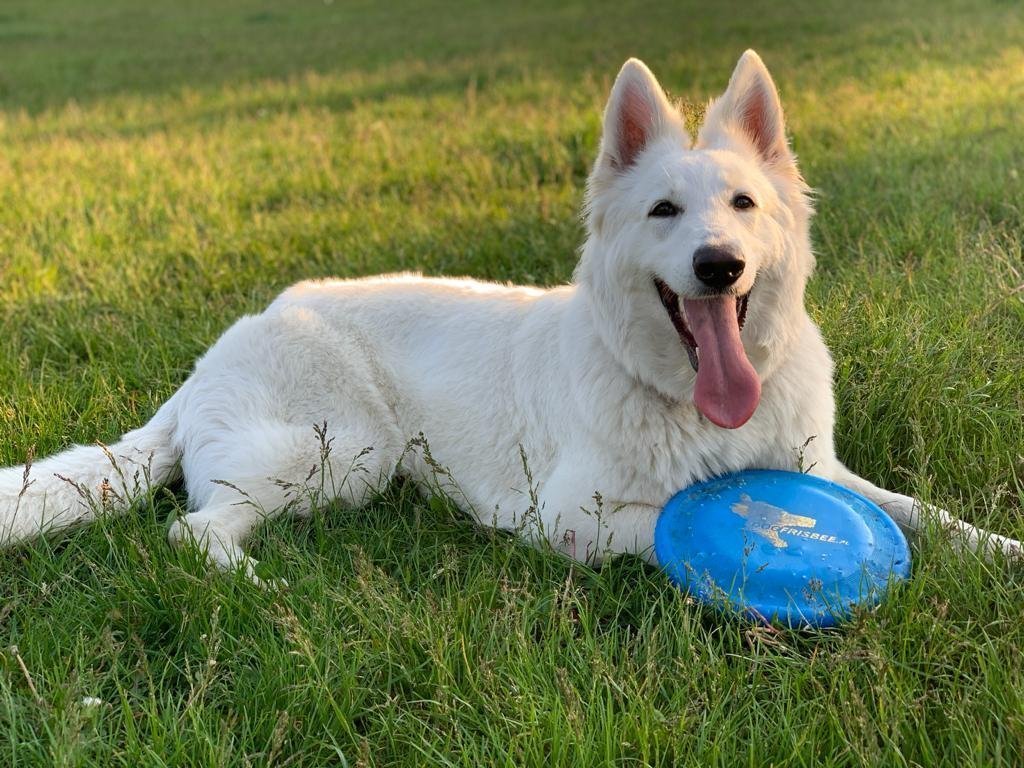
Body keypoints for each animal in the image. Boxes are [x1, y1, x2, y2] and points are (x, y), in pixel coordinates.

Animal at [1, 51, 1019, 580]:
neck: (691, 400)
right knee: (195, 530)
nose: (718, 265)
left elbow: (924, 514)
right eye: (664, 212)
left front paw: (998, 550)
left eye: (742, 206)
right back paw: (252, 582)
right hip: (344, 453)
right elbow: (668, 523)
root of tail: (215, 356)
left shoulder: (822, 471)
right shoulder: (575, 519)